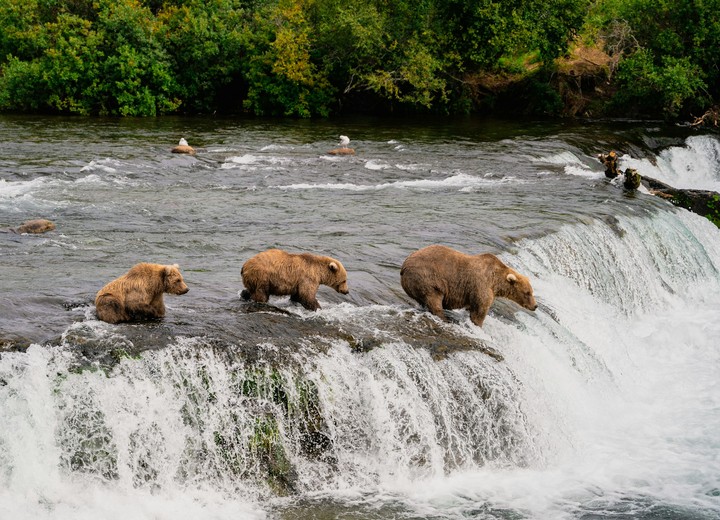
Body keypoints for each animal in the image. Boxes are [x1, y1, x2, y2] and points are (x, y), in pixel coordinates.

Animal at [400, 244, 537, 327]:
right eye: (527, 292)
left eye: (531, 291)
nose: (535, 306)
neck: (496, 281)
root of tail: (404, 266)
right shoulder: (481, 285)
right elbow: (480, 310)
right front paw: (478, 324)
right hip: (428, 279)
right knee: (434, 299)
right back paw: (445, 318)